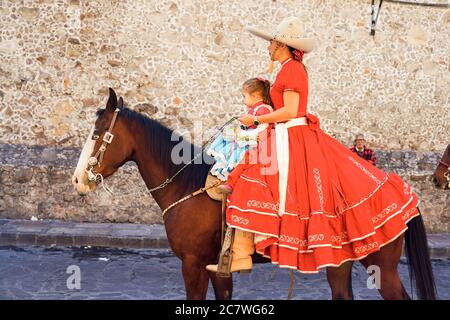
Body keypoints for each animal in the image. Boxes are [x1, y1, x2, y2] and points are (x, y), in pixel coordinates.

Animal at [73, 88, 436, 300]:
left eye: (97, 133)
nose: (78, 180)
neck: (187, 187)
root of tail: (398, 186)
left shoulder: (193, 265)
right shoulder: (216, 268)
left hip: (381, 267)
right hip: (341, 262)